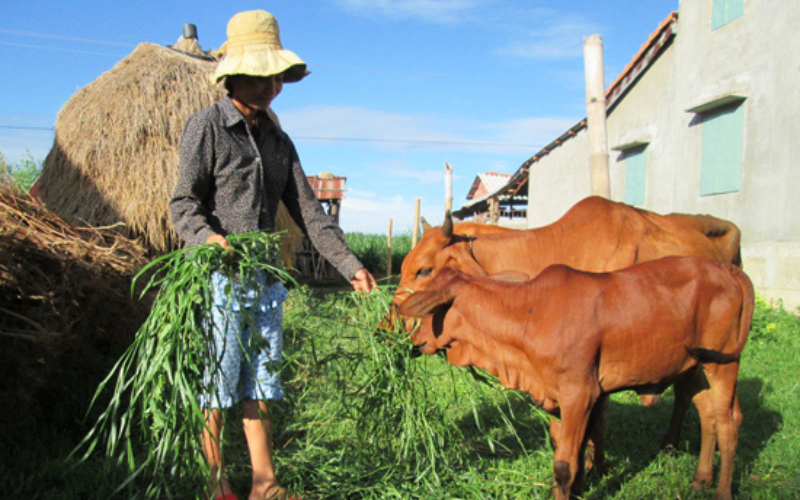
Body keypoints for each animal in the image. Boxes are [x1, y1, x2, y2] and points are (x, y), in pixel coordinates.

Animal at [400, 258, 756, 500]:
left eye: (427, 309)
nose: (411, 341)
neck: (529, 313)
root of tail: (727, 268)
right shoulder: (580, 397)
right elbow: (580, 447)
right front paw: (582, 490)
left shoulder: (579, 393)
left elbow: (565, 465)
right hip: (696, 367)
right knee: (709, 417)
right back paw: (700, 480)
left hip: (724, 364)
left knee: (729, 421)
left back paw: (722, 491)